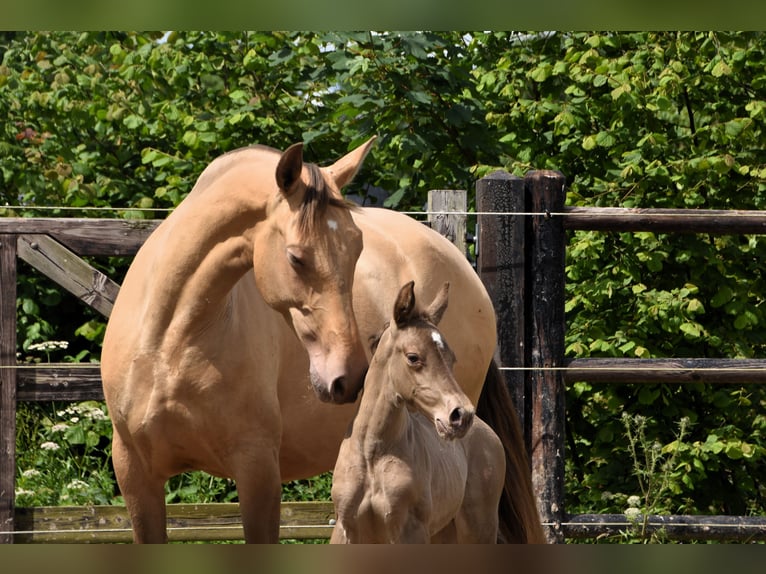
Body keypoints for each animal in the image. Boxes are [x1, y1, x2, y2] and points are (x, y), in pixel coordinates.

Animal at [332, 282, 508, 544]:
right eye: (413, 357)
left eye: (451, 358)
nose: (461, 415)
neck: (372, 456)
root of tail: (488, 433)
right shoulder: (347, 530)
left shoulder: (411, 531)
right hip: (444, 532)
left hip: (478, 529)